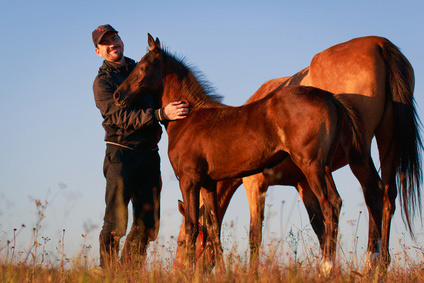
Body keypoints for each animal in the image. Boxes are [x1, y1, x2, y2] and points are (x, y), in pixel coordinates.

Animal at [114, 33, 380, 276]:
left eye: (143, 67)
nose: (117, 95)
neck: (189, 119)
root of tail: (330, 97)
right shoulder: (209, 183)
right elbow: (213, 229)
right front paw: (221, 272)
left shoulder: (189, 180)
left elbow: (191, 226)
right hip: (322, 167)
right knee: (336, 203)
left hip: (312, 165)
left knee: (330, 204)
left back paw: (326, 268)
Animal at [176, 36, 420, 272]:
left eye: (181, 242)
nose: (178, 270)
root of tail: (380, 44)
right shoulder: (304, 184)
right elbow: (319, 226)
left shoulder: (254, 184)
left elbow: (255, 234)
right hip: (387, 140)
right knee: (388, 195)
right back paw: (382, 264)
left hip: (359, 151)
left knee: (373, 192)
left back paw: (371, 263)